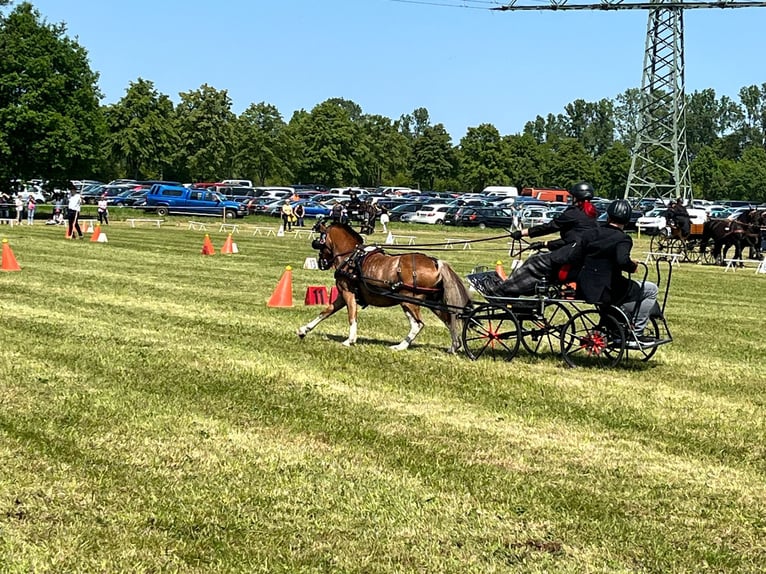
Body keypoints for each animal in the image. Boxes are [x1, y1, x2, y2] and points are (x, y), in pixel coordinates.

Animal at [296, 222, 472, 354]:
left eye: (319, 241)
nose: (321, 263)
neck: (351, 257)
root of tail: (435, 263)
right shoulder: (341, 295)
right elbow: (326, 311)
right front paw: (304, 330)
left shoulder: (347, 292)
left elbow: (352, 315)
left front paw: (350, 340)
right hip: (430, 302)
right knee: (449, 320)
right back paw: (453, 346)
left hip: (408, 301)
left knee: (418, 324)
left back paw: (401, 346)